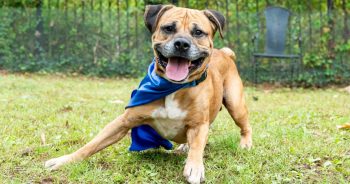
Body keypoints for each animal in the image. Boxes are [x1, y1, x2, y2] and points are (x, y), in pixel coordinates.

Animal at [44, 5, 252, 183]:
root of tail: (224, 53)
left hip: (235, 104)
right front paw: (65, 160)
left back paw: (245, 144)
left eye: (198, 32)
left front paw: (195, 166)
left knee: (245, 126)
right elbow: (92, 145)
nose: (182, 44)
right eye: (168, 28)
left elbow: (198, 147)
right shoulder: (123, 122)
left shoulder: (199, 125)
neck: (172, 88)